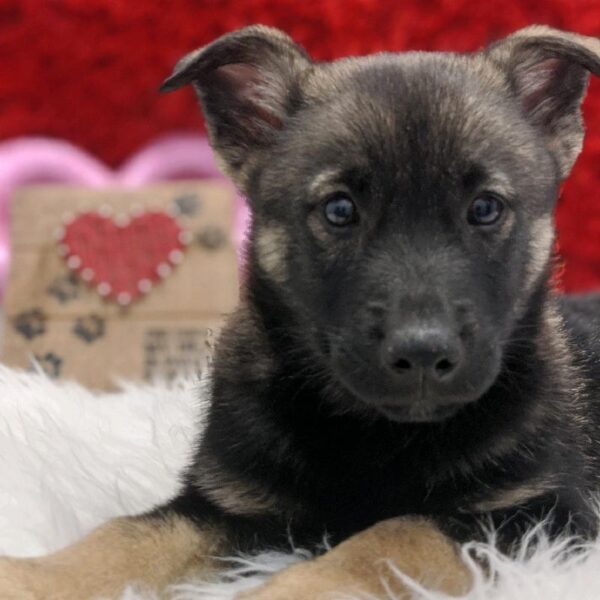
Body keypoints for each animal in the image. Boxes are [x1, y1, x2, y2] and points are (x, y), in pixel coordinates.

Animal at [1, 23, 600, 600]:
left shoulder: (539, 515)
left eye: (485, 208)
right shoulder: (226, 503)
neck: (376, 430)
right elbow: (127, 534)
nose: (423, 354)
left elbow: (395, 536)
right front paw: (30, 575)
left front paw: (283, 590)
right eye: (338, 210)